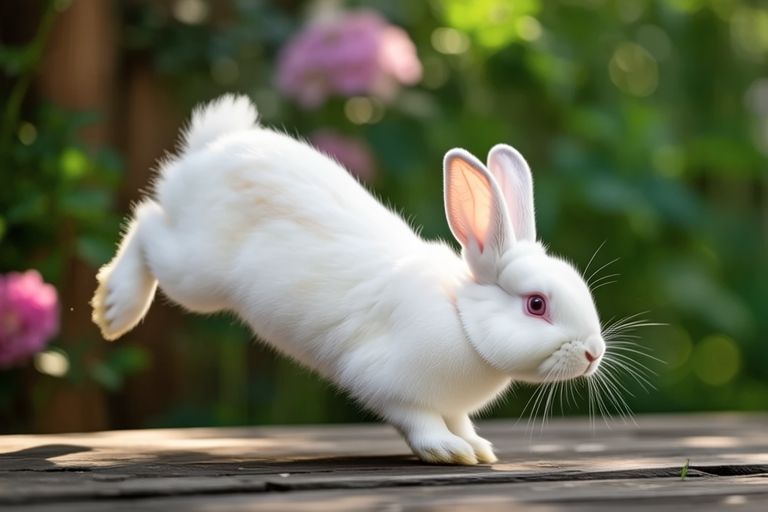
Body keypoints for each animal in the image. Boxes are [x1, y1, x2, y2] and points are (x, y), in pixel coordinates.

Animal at [91, 94, 606, 465]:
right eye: (536, 304)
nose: (593, 353)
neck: (461, 316)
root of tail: (208, 151)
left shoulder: (452, 403)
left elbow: (459, 420)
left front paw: (477, 448)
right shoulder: (387, 383)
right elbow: (420, 421)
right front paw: (448, 451)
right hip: (195, 273)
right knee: (148, 223)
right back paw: (114, 307)